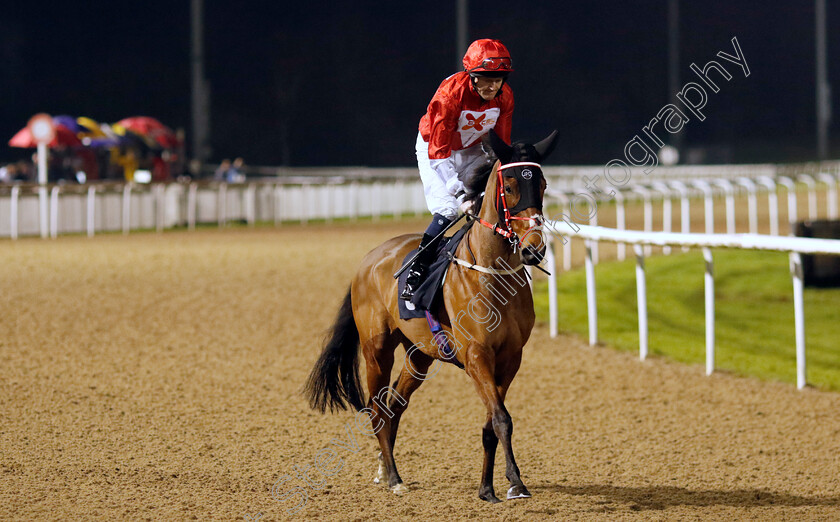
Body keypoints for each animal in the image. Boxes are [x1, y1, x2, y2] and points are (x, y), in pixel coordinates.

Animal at [304, 129, 556, 500]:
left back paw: (384, 468)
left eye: (542, 185)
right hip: (377, 350)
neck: (491, 272)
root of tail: (368, 260)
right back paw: (394, 477)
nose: (533, 248)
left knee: (394, 405)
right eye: (509, 185)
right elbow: (501, 418)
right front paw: (515, 482)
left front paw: (486, 488)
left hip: (419, 355)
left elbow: (491, 420)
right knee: (377, 407)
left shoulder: (510, 358)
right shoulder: (476, 354)